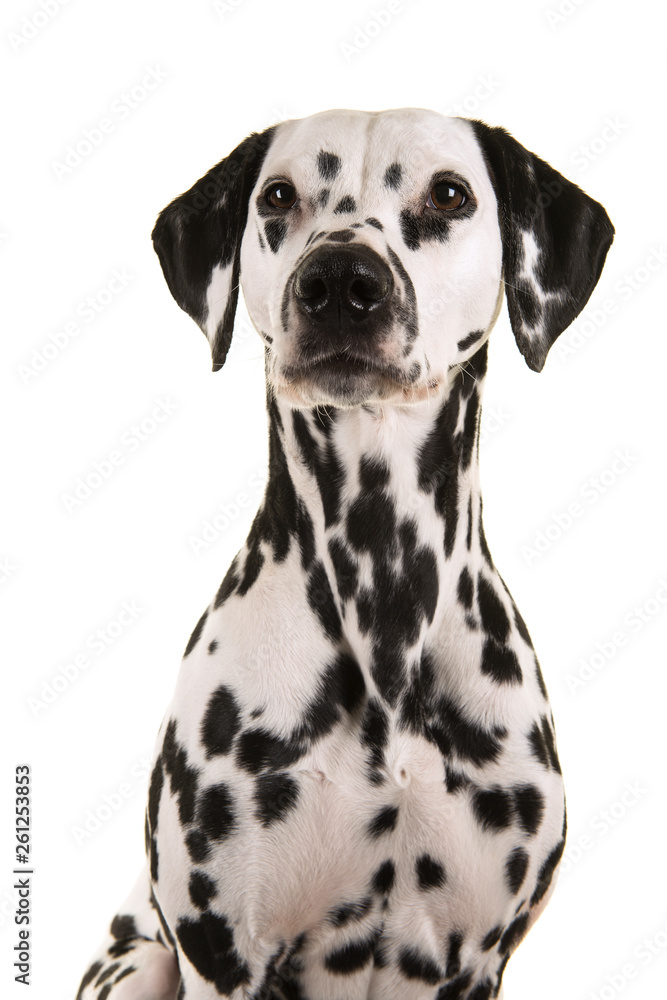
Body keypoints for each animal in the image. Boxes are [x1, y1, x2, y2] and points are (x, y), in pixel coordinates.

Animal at [75, 109, 612, 1000]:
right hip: (138, 961)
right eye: (277, 196)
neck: (384, 594)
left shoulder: (479, 962)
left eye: (449, 193)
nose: (338, 280)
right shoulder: (223, 953)